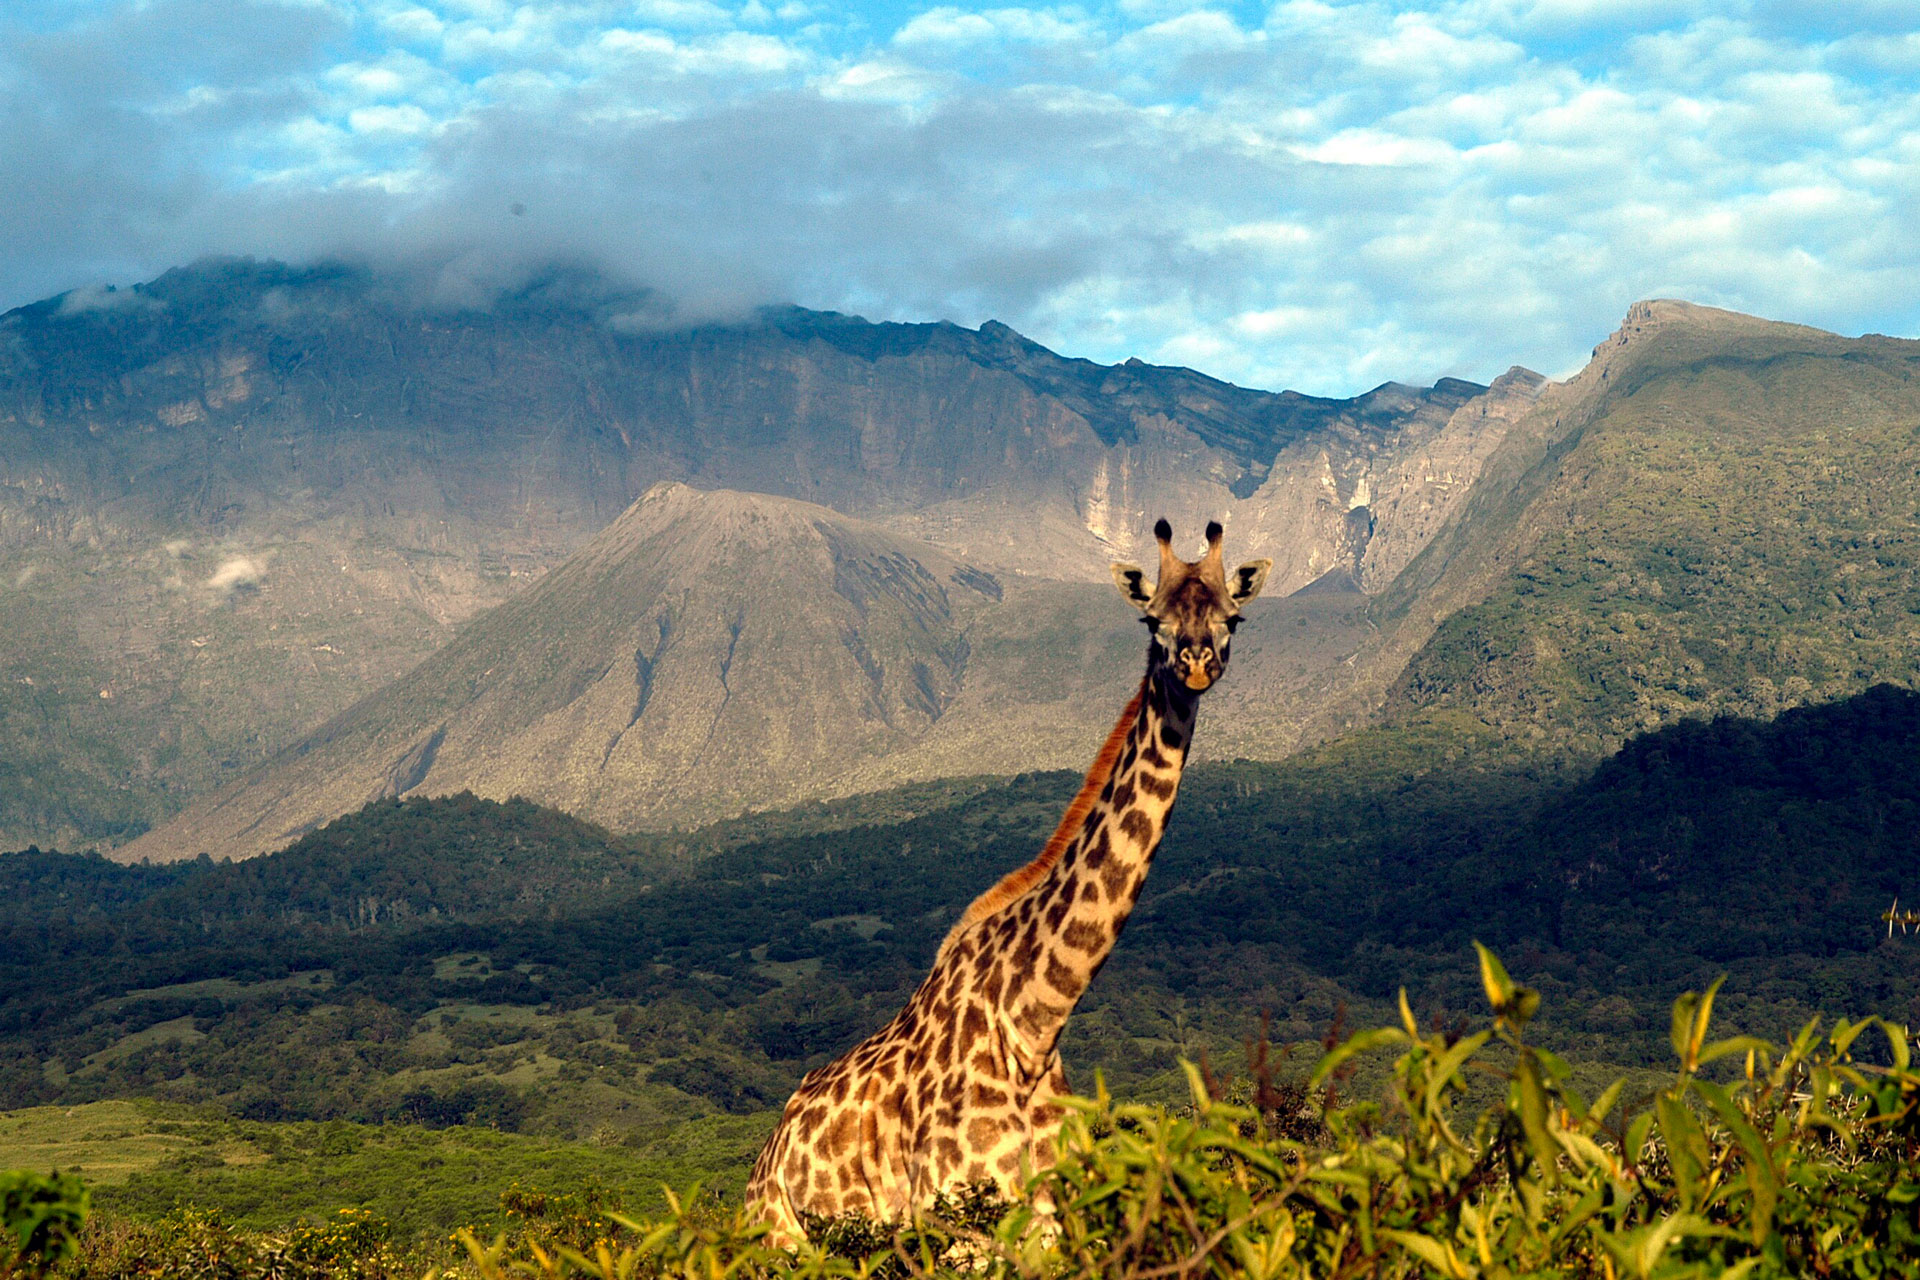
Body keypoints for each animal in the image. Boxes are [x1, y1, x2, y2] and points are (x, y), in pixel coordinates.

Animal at [744, 519, 1271, 1246]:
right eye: (1152, 619)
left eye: (1233, 616)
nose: (1195, 664)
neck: (1035, 1018)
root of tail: (768, 1150)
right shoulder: (958, 1225)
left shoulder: (1052, 1221)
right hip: (779, 1238)